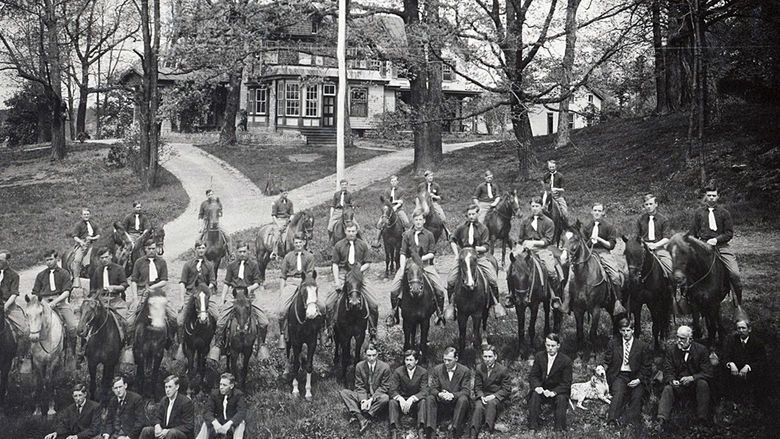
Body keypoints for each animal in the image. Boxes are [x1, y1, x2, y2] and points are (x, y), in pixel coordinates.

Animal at [284, 270, 322, 400]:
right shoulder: (295, 342)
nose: (311, 313)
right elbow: (295, 364)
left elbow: (309, 366)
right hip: (289, 341)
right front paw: (295, 390)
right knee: (288, 354)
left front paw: (308, 392)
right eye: (303, 290)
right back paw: (286, 371)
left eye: (316, 289)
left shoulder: (312, 342)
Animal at [564, 225, 620, 356]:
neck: (584, 278)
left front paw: (594, 353)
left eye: (575, 239)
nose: (563, 258)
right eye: (563, 238)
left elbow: (592, 333)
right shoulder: (578, 309)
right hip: (609, 304)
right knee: (614, 317)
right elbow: (580, 332)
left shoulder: (595, 310)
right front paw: (580, 351)